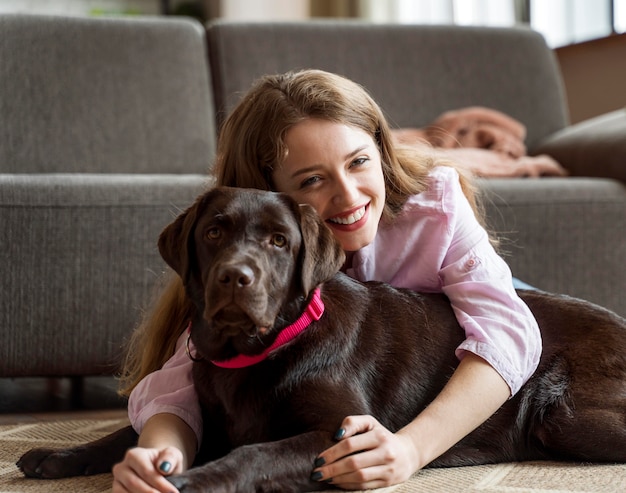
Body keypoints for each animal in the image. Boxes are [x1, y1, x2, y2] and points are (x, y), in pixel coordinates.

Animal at [15, 186, 624, 490]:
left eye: (279, 241)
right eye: (213, 232)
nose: (234, 277)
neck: (263, 350)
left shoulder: (339, 432)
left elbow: (254, 452)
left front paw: (199, 478)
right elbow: (128, 433)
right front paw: (59, 455)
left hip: (562, 413)